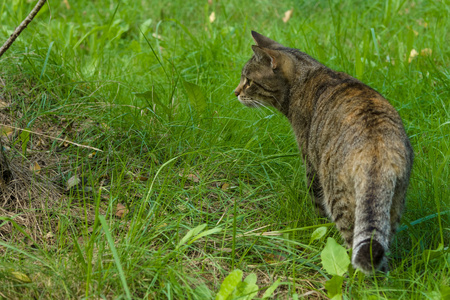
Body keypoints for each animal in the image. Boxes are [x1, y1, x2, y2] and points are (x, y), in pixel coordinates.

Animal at [236, 31, 414, 274]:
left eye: (248, 81)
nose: (235, 92)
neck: (304, 78)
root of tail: (378, 152)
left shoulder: (310, 161)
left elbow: (315, 201)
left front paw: (317, 226)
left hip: (339, 197)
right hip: (394, 204)